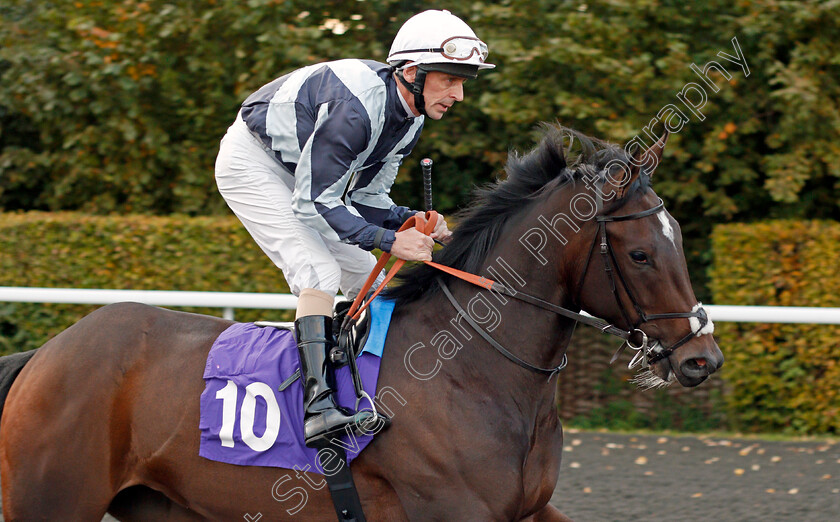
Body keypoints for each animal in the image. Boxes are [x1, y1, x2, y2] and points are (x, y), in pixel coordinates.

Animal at [0, 125, 720, 516]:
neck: (471, 373)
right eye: (640, 253)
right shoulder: (455, 509)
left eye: (679, 239)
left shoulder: (529, 508)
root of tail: (47, 353)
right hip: (53, 496)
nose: (701, 358)